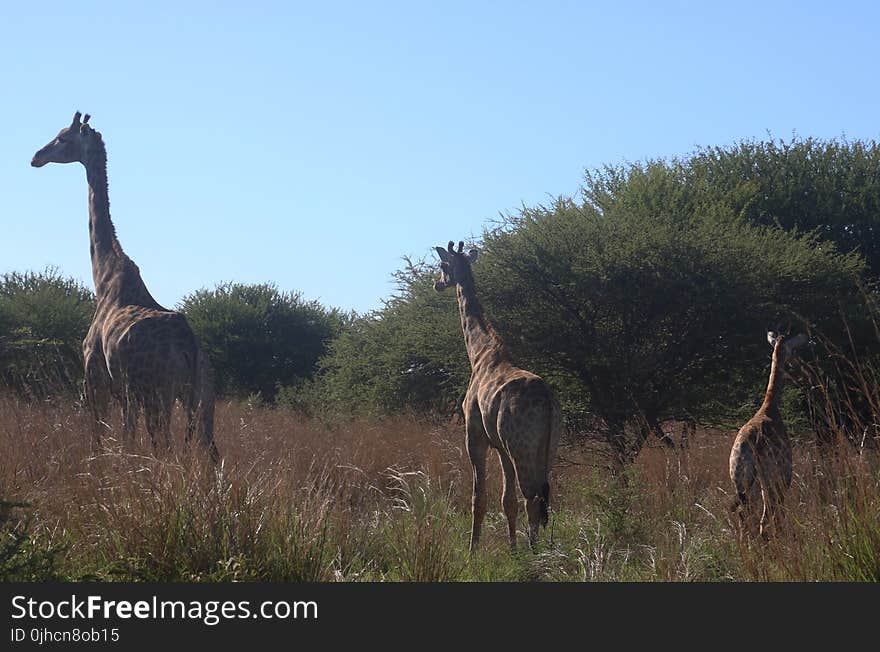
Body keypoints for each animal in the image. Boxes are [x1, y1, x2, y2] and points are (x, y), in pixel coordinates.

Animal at [31, 112, 218, 458]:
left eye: (62, 138)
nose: (36, 157)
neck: (103, 277)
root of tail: (188, 345)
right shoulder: (125, 390)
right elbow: (124, 435)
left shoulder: (96, 377)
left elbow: (103, 436)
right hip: (202, 393)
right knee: (209, 450)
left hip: (158, 391)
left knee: (163, 445)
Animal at [434, 239, 564, 552]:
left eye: (442, 265)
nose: (437, 284)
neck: (479, 353)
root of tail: (547, 402)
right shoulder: (501, 446)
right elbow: (507, 501)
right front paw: (511, 549)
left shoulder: (475, 437)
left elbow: (478, 497)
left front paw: (472, 551)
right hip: (548, 446)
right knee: (540, 495)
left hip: (522, 447)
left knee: (533, 496)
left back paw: (534, 554)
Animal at [724, 334, 808, 536]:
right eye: (793, 351)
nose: (800, 369)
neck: (770, 405)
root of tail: (749, 446)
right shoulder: (784, 473)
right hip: (768, 478)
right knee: (766, 515)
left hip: (741, 480)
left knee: (745, 515)